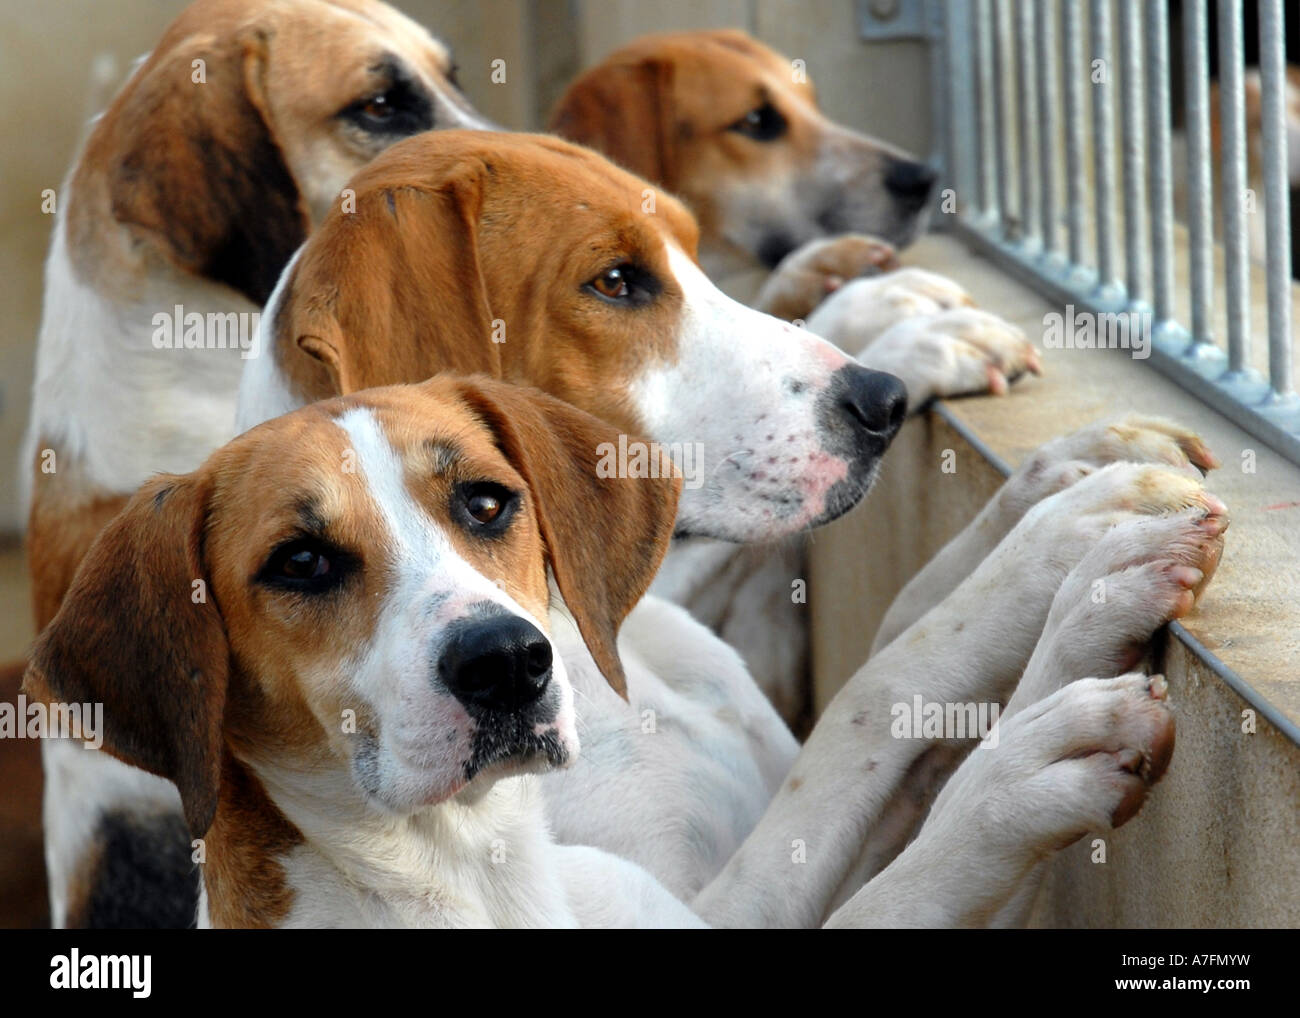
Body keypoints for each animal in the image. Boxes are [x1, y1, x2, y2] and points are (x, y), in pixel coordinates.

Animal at [22, 377, 1196, 925]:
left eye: (485, 501)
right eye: (300, 562)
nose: (507, 661)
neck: (481, 866)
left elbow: (897, 656)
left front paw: (1061, 488)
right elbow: (881, 706)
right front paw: (1044, 725)